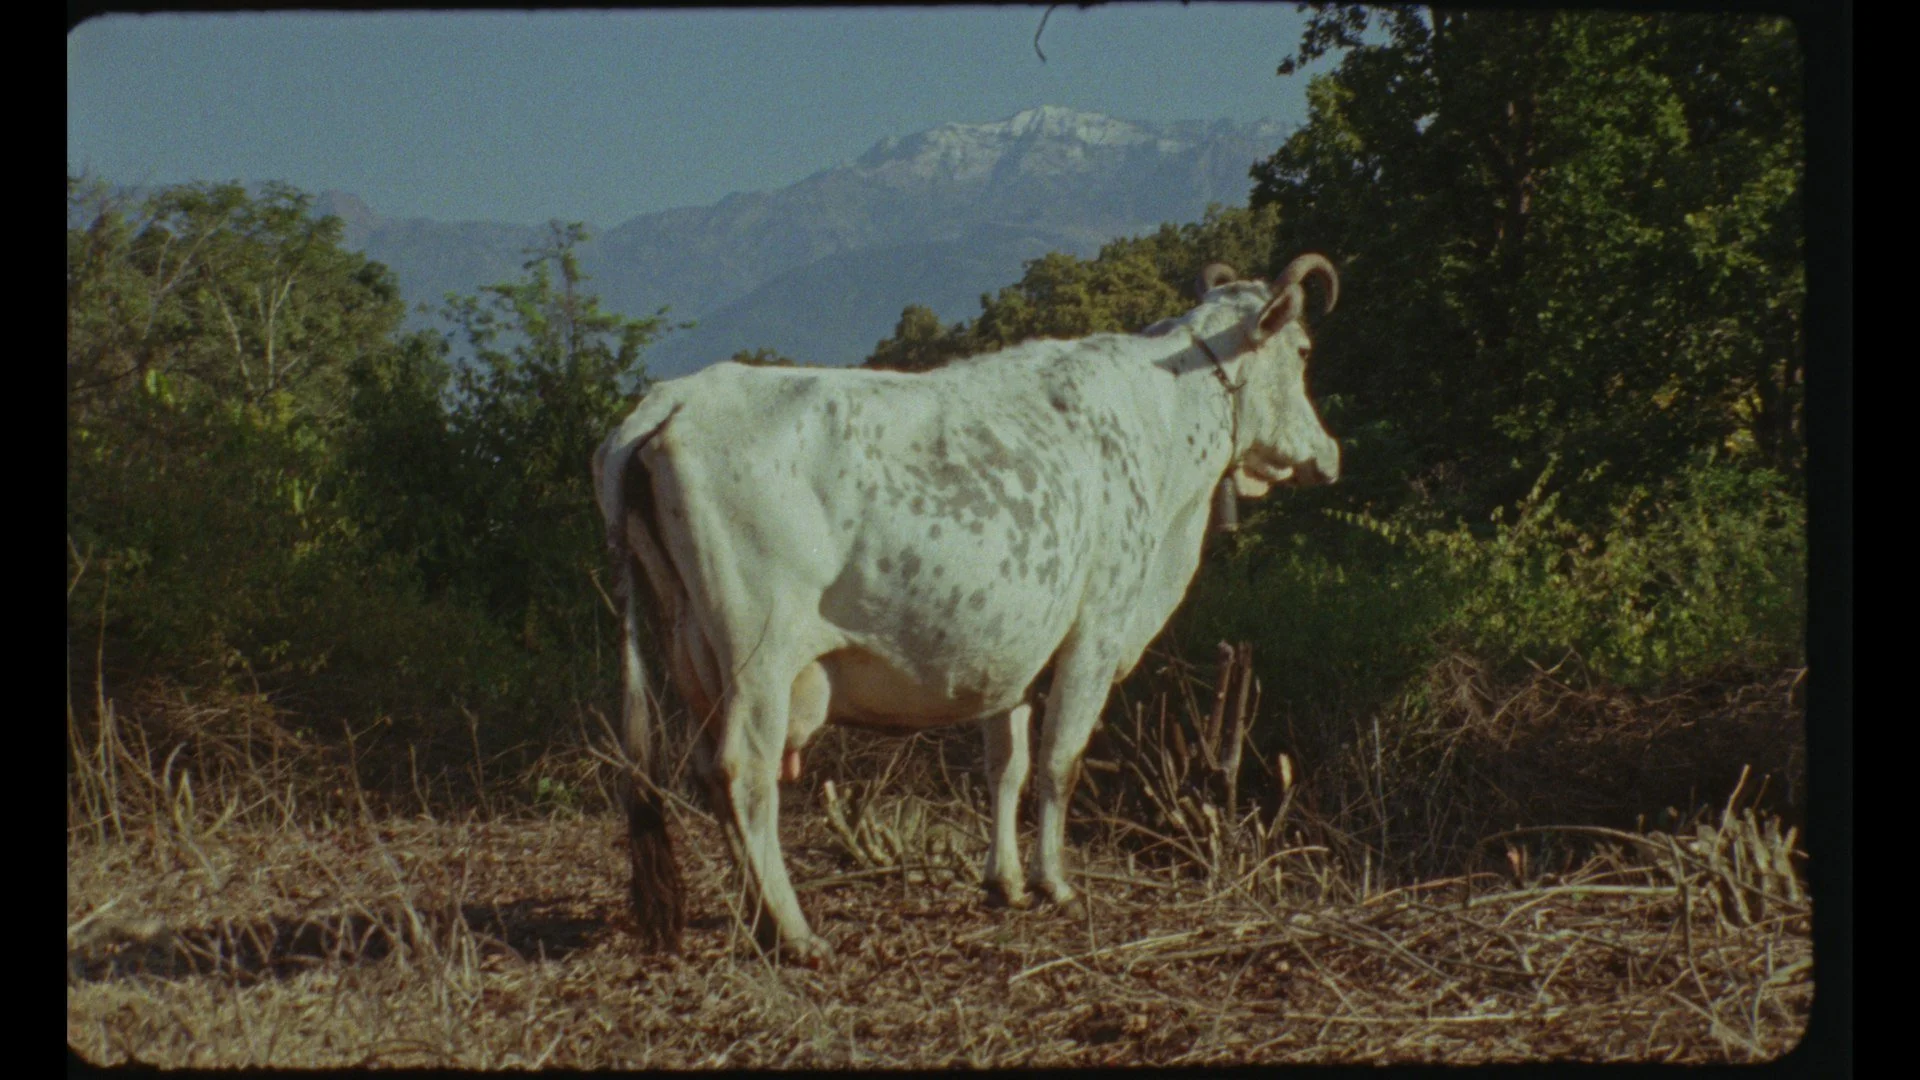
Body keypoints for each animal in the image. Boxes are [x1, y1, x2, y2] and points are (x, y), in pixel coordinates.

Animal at [594, 256, 1340, 961]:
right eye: (1304, 349)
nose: (1329, 454)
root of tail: (676, 398)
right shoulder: (1095, 630)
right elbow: (1060, 761)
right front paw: (1055, 882)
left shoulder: (1014, 654)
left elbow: (1006, 765)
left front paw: (1004, 881)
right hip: (760, 657)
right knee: (744, 775)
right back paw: (796, 933)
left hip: (690, 649)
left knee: (708, 777)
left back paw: (757, 921)